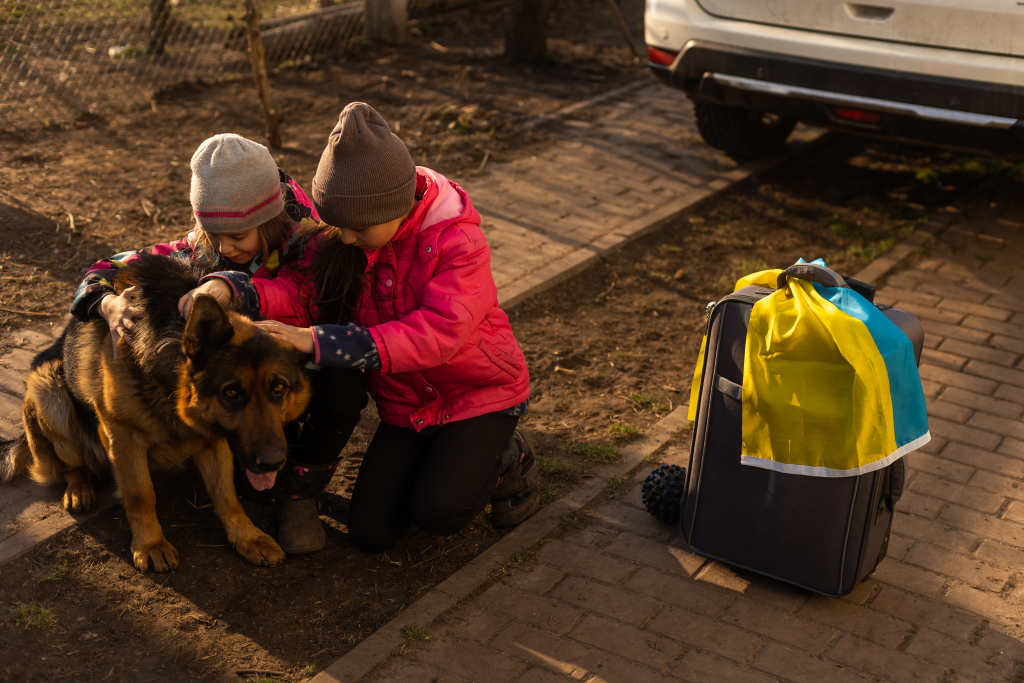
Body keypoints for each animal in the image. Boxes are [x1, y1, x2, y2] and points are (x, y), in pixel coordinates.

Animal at [0, 254, 311, 573]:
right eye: (231, 393)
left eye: (278, 389)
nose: (273, 463)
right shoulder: (121, 434)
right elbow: (141, 494)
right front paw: (150, 545)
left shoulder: (214, 438)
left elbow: (227, 495)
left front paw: (247, 537)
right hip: (47, 387)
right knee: (72, 465)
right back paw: (79, 488)